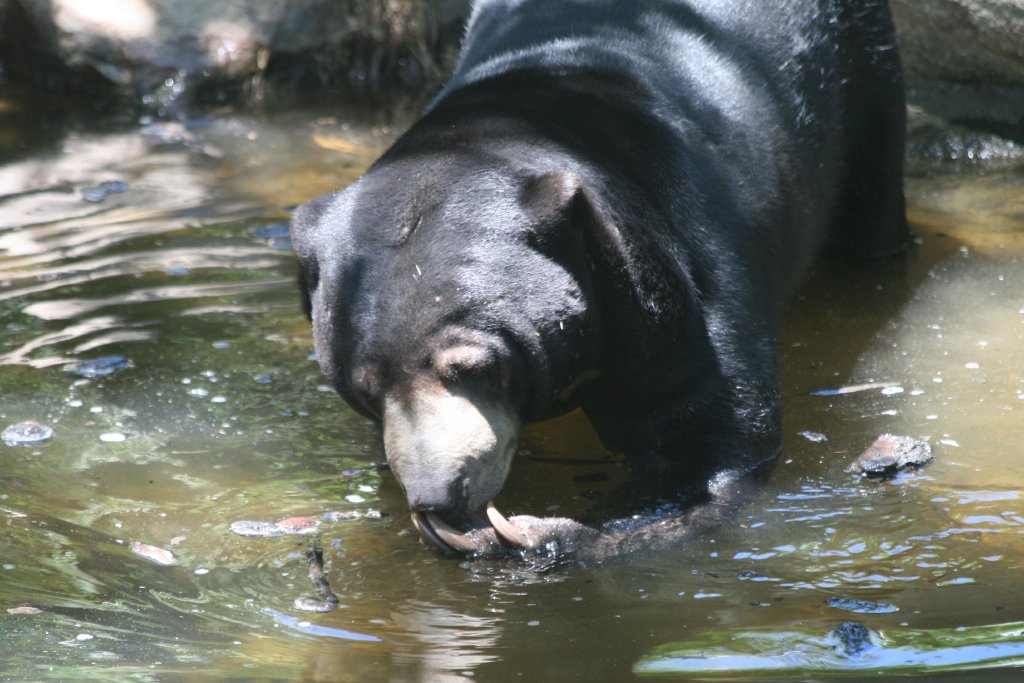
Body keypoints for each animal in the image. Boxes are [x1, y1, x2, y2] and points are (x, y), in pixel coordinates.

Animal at [290, 0, 908, 559]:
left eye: (477, 368)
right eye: (363, 389)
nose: (439, 497)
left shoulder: (681, 267)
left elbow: (708, 438)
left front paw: (533, 534)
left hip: (863, 74)